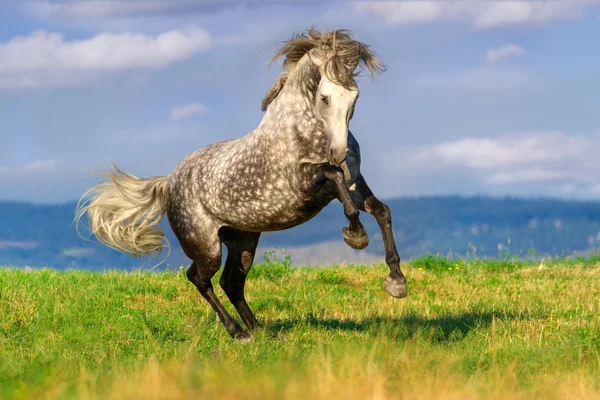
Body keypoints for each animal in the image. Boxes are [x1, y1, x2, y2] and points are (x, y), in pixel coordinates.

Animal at [76, 28, 408, 340]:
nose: (337, 153)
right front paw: (356, 236)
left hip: (243, 239)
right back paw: (239, 332)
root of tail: (169, 181)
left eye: (354, 96)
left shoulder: (354, 184)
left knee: (231, 282)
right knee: (200, 278)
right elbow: (335, 179)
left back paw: (261, 329)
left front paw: (396, 282)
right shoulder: (304, 184)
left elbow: (381, 211)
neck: (303, 130)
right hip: (206, 246)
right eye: (324, 97)